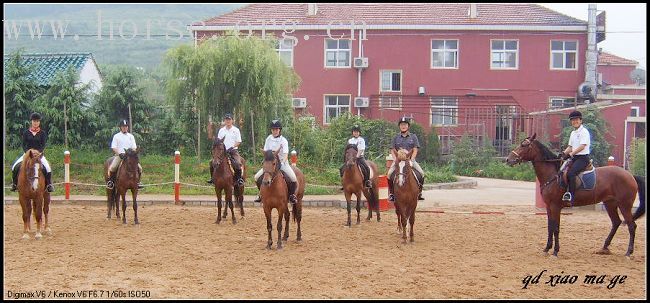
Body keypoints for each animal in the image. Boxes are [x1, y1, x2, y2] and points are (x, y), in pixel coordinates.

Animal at [504, 134, 644, 258]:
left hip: (624, 205)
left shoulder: (555, 207)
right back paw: (604, 248)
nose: (508, 159)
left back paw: (628, 252)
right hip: (610, 204)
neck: (553, 175)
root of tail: (630, 175)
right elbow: (550, 227)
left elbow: (556, 228)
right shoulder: (549, 207)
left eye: (524, 145)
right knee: (616, 222)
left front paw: (555, 251)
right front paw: (547, 249)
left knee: (631, 226)